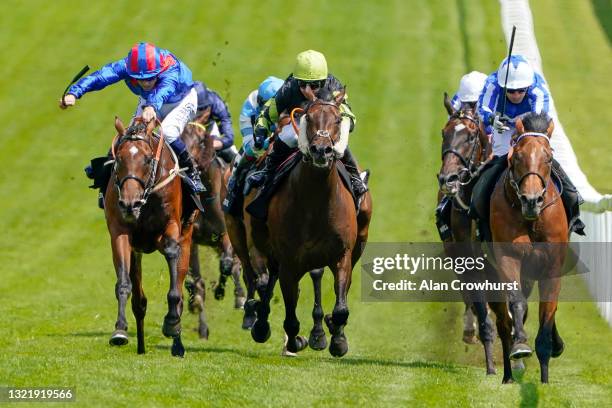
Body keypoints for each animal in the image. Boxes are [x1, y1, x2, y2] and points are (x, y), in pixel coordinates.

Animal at [101, 116, 195, 356]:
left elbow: (172, 262)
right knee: (139, 301)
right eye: (119, 159)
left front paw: (171, 323)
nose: (130, 204)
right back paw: (141, 346)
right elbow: (124, 284)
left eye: (147, 159)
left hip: (187, 236)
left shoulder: (171, 227)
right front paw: (120, 330)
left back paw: (177, 342)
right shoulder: (120, 233)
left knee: (180, 284)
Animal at [180, 107, 245, 340]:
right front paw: (201, 324)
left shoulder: (226, 234)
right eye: (179, 137)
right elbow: (196, 282)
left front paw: (227, 292)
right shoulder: (191, 239)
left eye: (201, 140)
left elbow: (227, 264)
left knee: (235, 264)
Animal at [245, 87, 370, 356]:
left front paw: (336, 338)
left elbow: (341, 307)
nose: (321, 150)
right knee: (268, 279)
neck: (316, 201)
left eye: (338, 119)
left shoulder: (342, 254)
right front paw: (295, 340)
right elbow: (290, 313)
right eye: (309, 117)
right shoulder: (289, 260)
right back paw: (262, 324)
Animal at [488, 112, 568, 382]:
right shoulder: (508, 258)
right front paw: (521, 345)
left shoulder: (552, 266)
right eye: (517, 157)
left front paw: (544, 380)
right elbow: (517, 303)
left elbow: (548, 312)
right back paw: (507, 374)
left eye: (549, 157)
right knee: (502, 322)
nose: (531, 201)